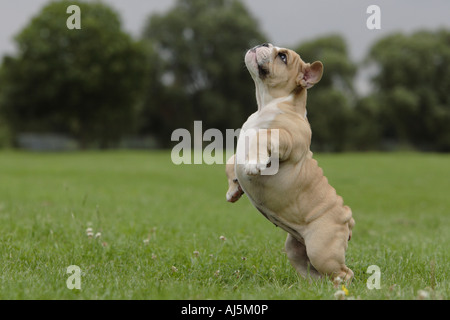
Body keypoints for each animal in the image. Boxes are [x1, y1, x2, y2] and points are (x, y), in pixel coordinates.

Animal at [225, 43, 356, 284]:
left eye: (283, 57)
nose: (263, 44)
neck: (267, 104)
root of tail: (347, 219)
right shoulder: (240, 147)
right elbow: (231, 161)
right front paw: (234, 190)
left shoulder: (284, 139)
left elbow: (262, 137)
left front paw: (253, 164)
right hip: (295, 248)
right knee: (311, 271)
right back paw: (310, 286)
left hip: (322, 249)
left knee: (343, 272)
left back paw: (338, 286)